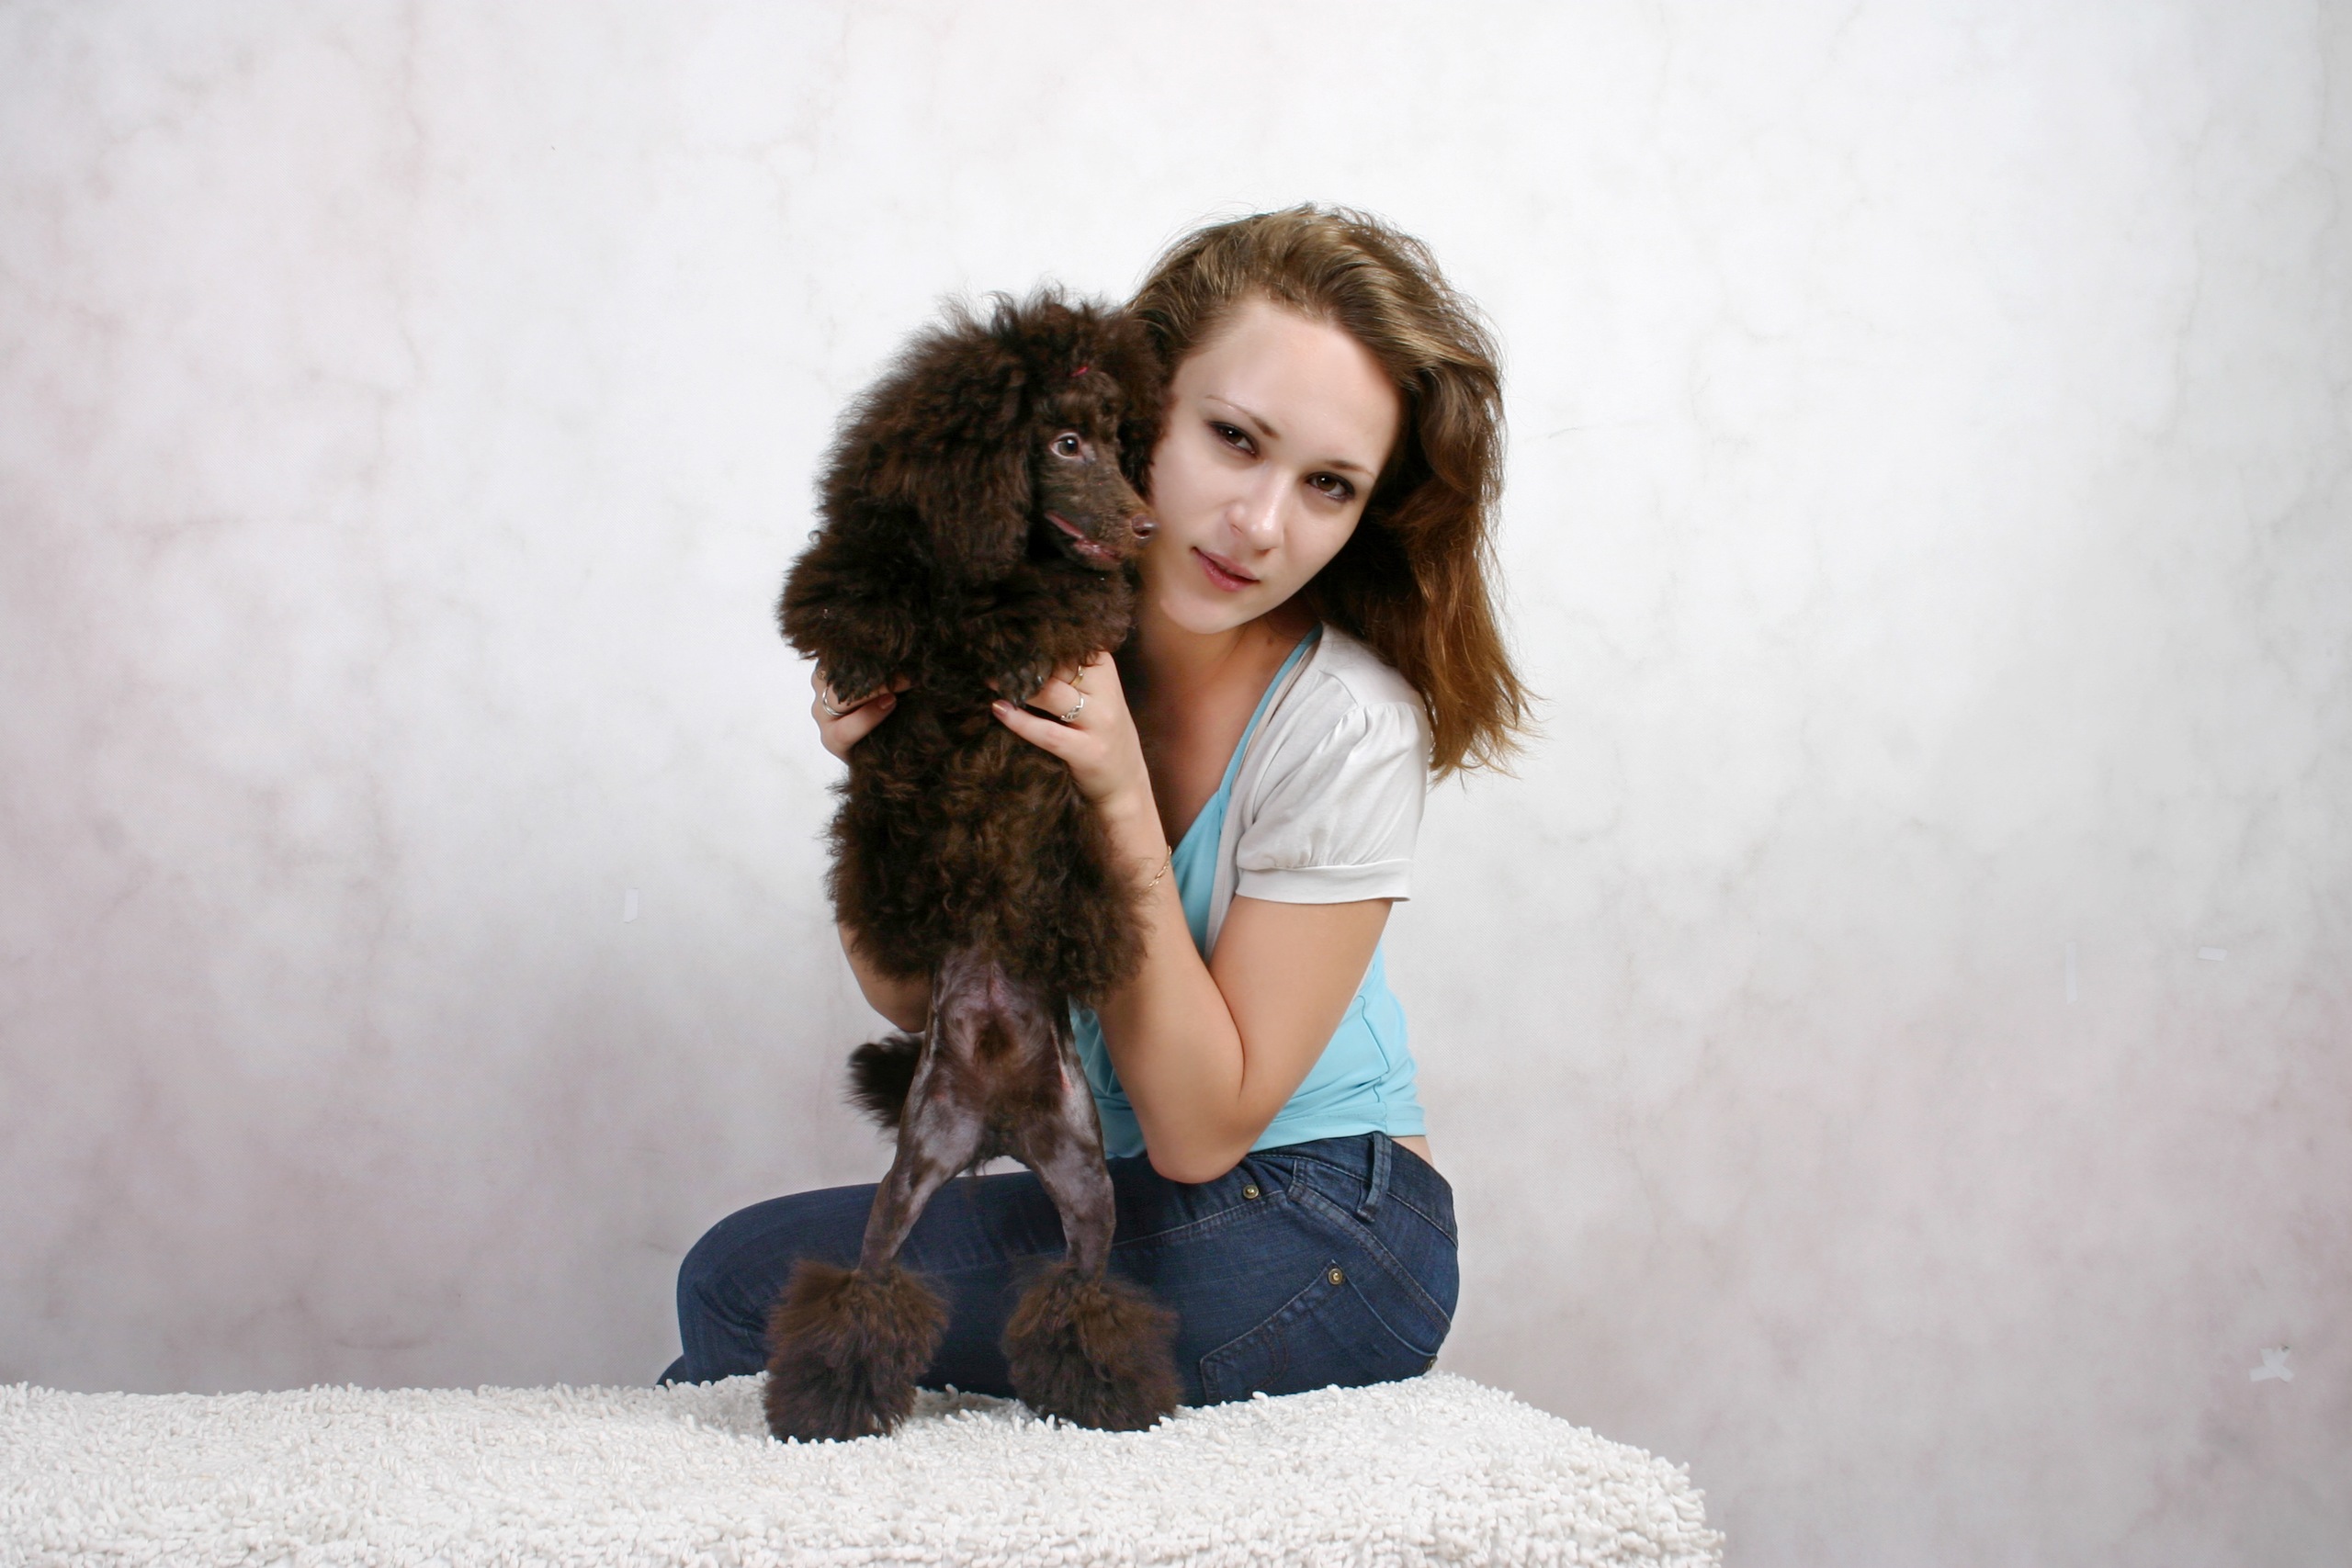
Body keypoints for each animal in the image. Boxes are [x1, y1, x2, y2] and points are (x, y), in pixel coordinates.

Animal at [767, 291, 1181, 1441]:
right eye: (1065, 442)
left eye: (1123, 442)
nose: (1145, 525)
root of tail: (995, 1121)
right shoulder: (867, 562)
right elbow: (851, 589)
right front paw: (874, 640)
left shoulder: (1086, 614)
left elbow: (1051, 608)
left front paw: (1006, 632)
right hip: (912, 1173)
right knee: (870, 1283)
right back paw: (832, 1396)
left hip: (1084, 1180)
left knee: (1086, 1291)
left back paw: (1100, 1393)